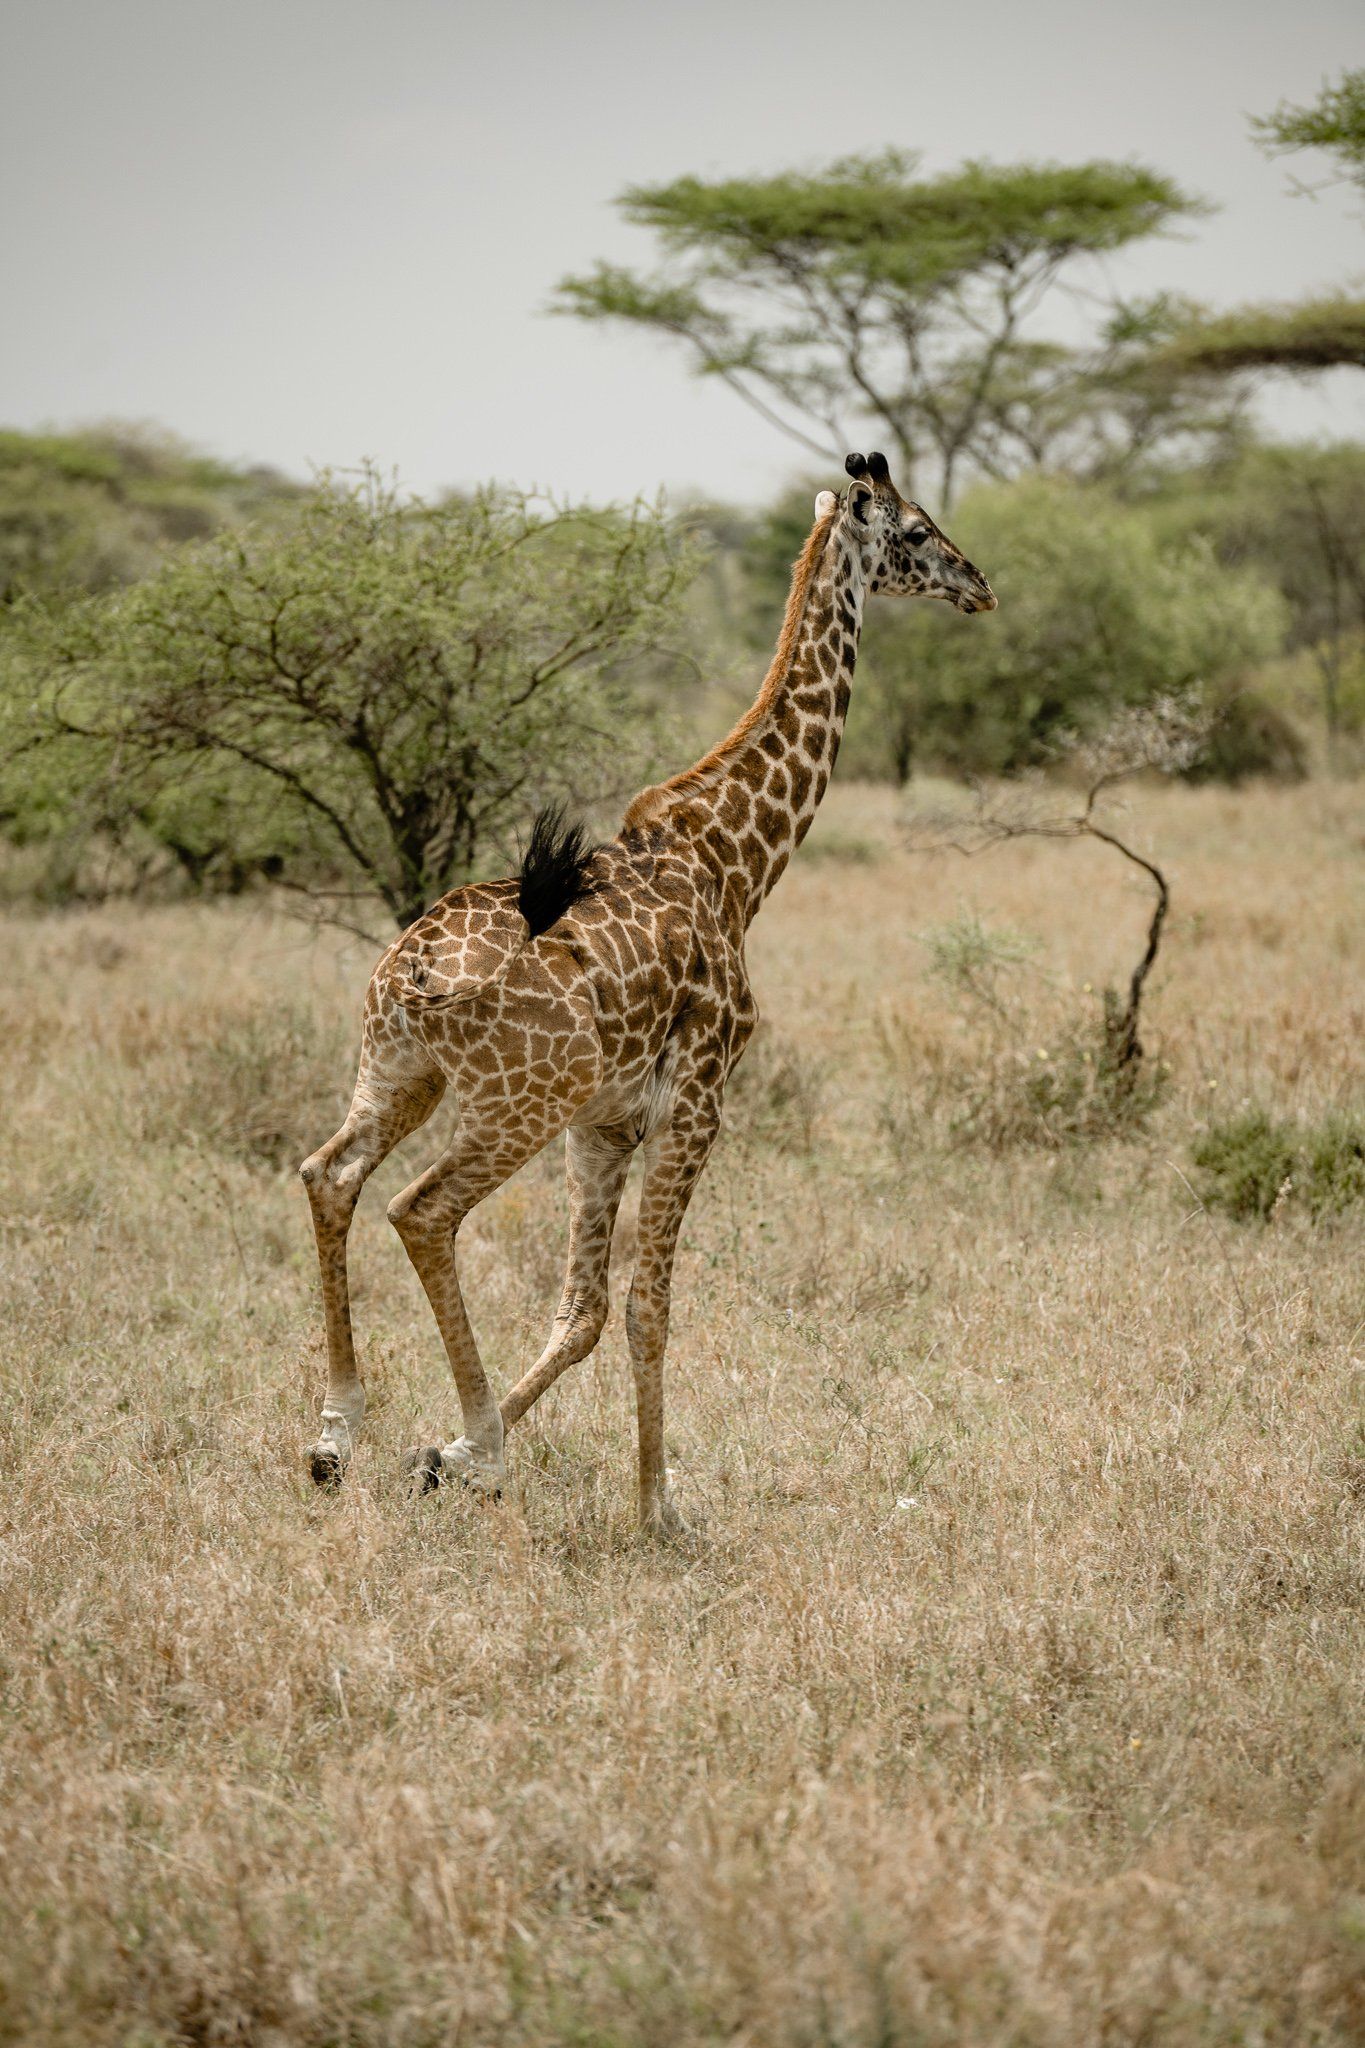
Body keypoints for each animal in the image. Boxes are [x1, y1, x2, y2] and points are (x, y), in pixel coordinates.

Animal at [298, 450, 995, 1533]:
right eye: (916, 531)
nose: (979, 585)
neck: (736, 861)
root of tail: (410, 974)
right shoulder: (694, 1102)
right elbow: (647, 1305)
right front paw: (656, 1505)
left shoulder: (606, 1122)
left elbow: (581, 1311)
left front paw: (444, 1454)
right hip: (514, 1104)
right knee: (419, 1209)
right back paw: (487, 1451)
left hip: (398, 1071)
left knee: (330, 1174)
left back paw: (338, 1437)